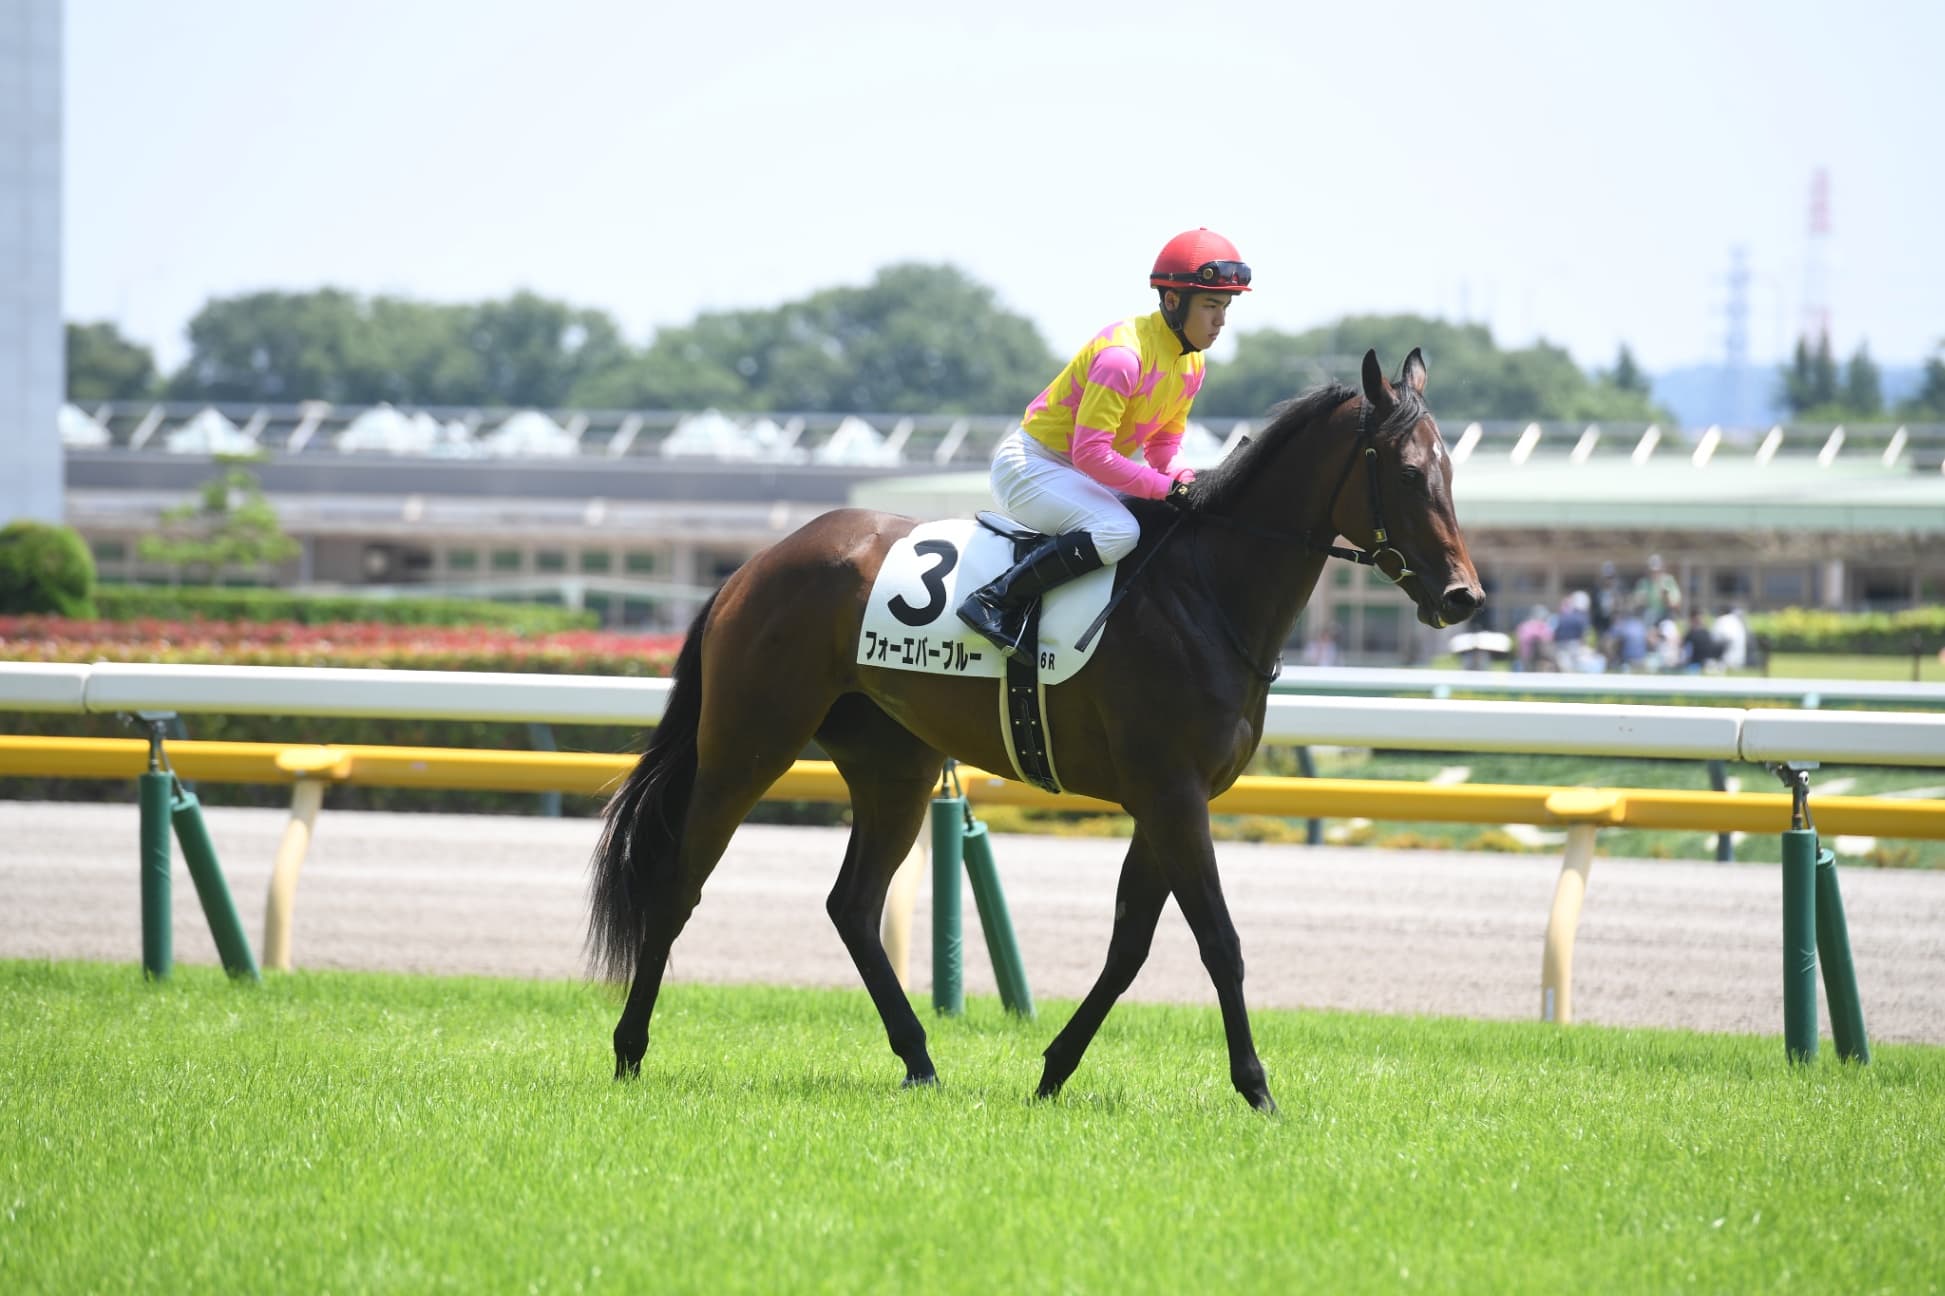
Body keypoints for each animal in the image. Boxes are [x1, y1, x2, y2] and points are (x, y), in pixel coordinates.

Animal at [588, 347, 1483, 1112]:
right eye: (1408, 473)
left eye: (1450, 471)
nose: (1462, 597)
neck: (1205, 594)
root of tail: (753, 563)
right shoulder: (1171, 794)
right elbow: (1217, 940)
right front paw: (1256, 1088)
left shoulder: (1167, 800)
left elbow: (1130, 946)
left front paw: (1053, 1069)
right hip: (749, 744)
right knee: (679, 883)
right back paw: (629, 1049)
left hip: (894, 768)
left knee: (852, 904)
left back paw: (919, 1060)